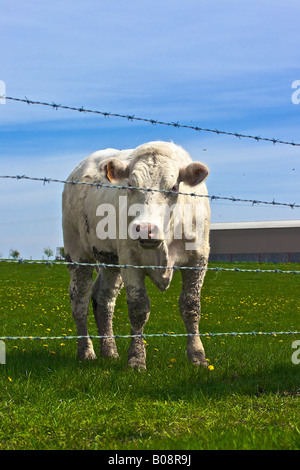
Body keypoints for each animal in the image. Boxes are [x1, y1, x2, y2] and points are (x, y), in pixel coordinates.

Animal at [62, 141, 210, 370]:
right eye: (130, 185)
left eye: (173, 187)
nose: (145, 229)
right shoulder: (130, 261)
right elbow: (139, 308)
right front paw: (136, 359)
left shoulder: (198, 259)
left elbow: (191, 306)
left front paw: (198, 356)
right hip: (78, 254)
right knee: (80, 300)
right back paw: (86, 351)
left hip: (111, 262)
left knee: (104, 300)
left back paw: (109, 351)